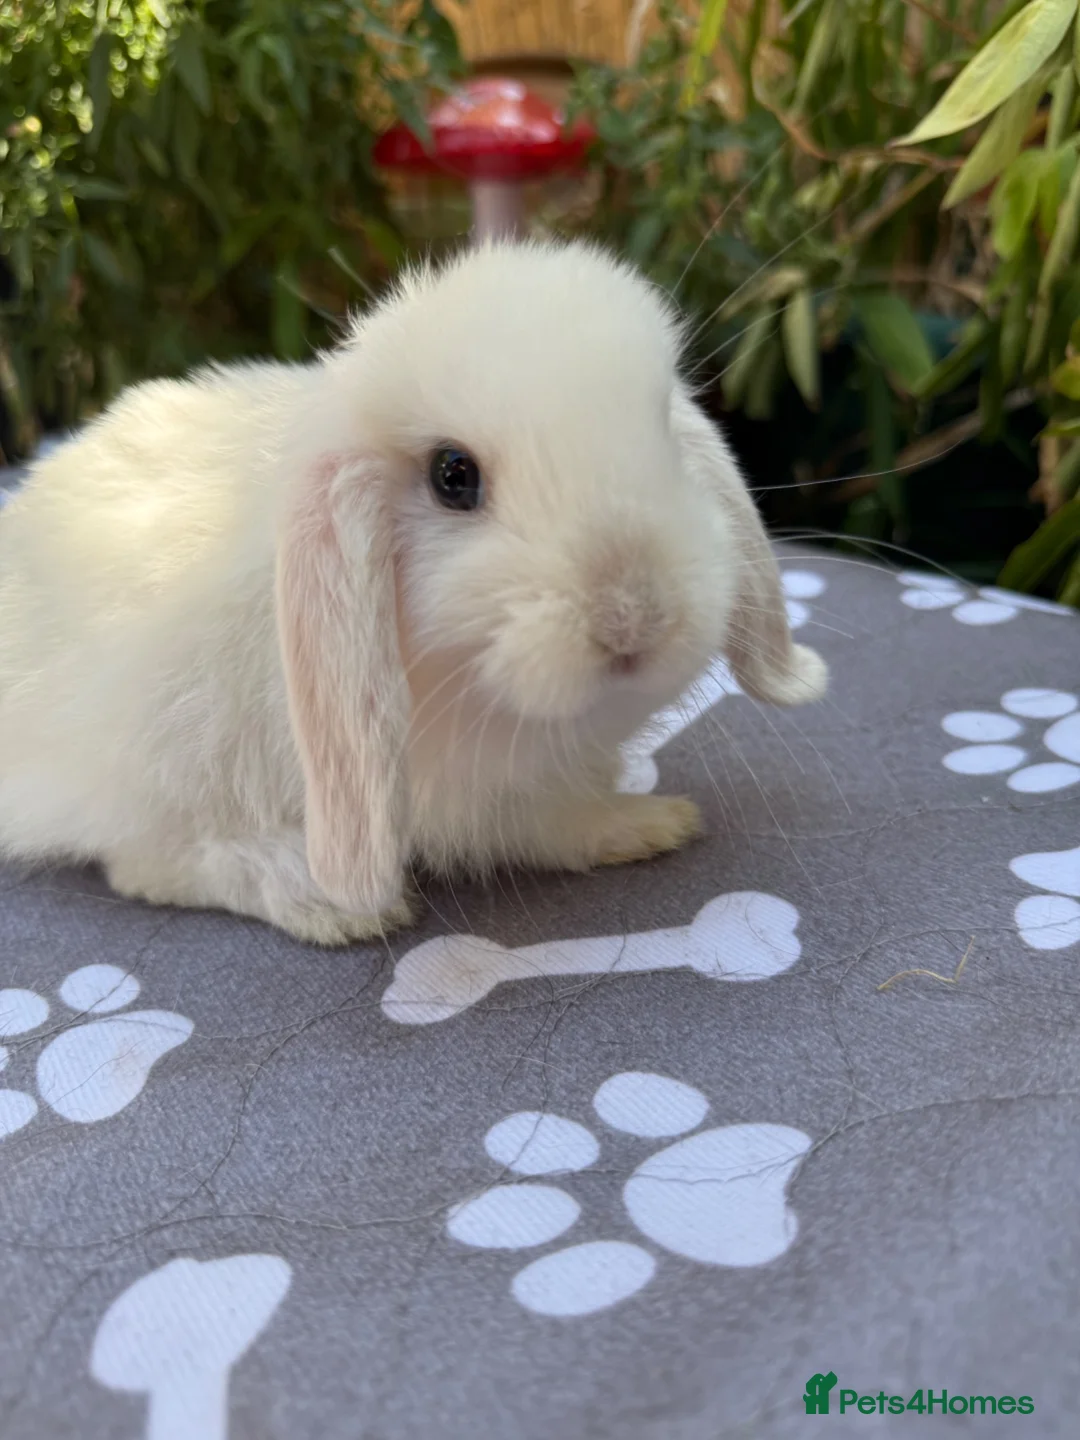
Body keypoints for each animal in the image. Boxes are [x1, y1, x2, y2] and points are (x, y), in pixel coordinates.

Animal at [0, 240, 826, 945]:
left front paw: (651, 817)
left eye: (662, 429)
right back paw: (322, 900)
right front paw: (653, 822)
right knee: (148, 865)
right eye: (452, 476)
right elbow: (551, 829)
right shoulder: (488, 803)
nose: (634, 618)